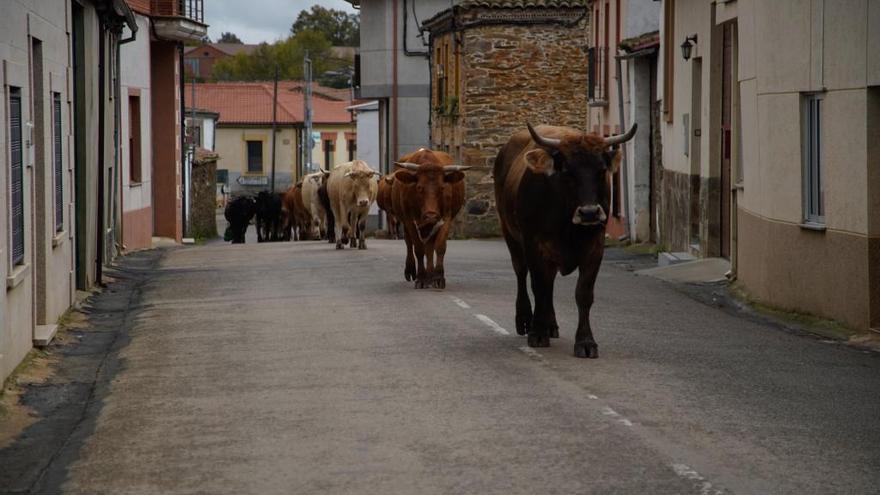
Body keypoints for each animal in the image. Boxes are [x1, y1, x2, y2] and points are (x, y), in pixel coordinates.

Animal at [390, 149, 470, 288]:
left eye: (442, 187)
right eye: (419, 187)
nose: (431, 215)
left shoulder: (447, 217)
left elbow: (439, 246)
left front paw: (438, 277)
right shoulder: (409, 219)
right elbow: (418, 248)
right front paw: (421, 278)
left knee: (430, 246)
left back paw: (430, 276)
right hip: (407, 221)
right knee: (409, 243)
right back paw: (413, 271)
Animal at [492, 122, 636, 358]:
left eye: (601, 171)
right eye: (568, 171)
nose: (589, 213)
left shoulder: (595, 249)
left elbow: (583, 294)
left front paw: (586, 342)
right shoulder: (534, 246)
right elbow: (538, 287)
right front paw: (537, 333)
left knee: (548, 283)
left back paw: (550, 324)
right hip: (510, 235)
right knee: (522, 274)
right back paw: (526, 320)